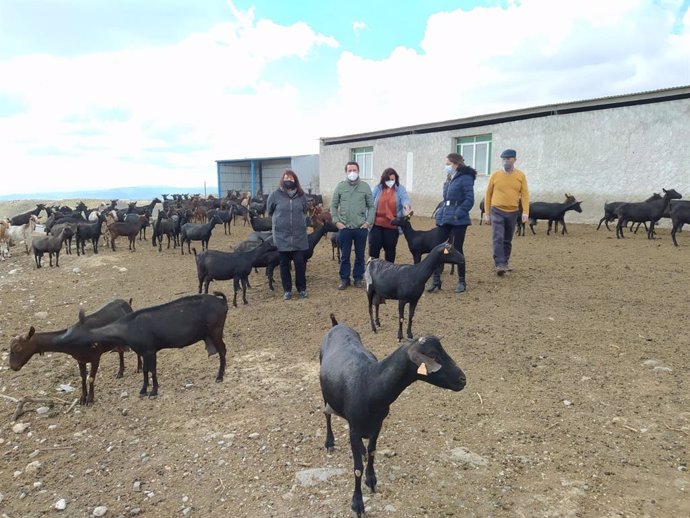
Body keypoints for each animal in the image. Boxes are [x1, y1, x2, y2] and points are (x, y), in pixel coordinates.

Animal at [56, 294, 227, 400]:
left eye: (77, 337)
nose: (60, 340)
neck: (127, 328)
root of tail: (222, 302)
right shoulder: (143, 352)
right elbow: (145, 370)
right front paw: (144, 390)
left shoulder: (151, 350)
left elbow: (153, 370)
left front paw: (154, 391)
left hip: (216, 331)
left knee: (223, 351)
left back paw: (219, 376)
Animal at [320, 314, 464, 516]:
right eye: (434, 356)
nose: (463, 379)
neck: (370, 382)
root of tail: (336, 325)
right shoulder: (355, 429)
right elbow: (357, 468)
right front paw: (358, 503)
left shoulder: (377, 425)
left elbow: (372, 452)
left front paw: (371, 479)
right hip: (325, 393)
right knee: (327, 414)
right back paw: (329, 442)